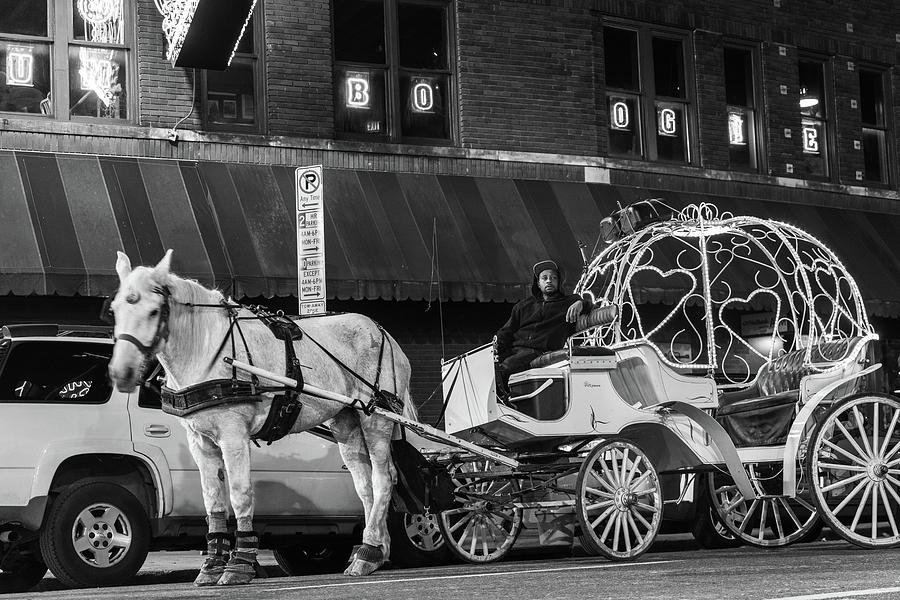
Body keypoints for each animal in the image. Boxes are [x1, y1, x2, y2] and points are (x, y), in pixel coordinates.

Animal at [107, 250, 414, 584]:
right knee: (364, 483)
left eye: (153, 312)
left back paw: (369, 550)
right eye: (114, 309)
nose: (120, 373)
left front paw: (240, 564)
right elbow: (213, 501)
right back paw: (374, 552)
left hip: (376, 416)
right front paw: (211, 565)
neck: (207, 351)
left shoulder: (233, 435)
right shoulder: (200, 441)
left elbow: (240, 494)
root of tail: (383, 333)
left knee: (383, 478)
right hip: (346, 418)